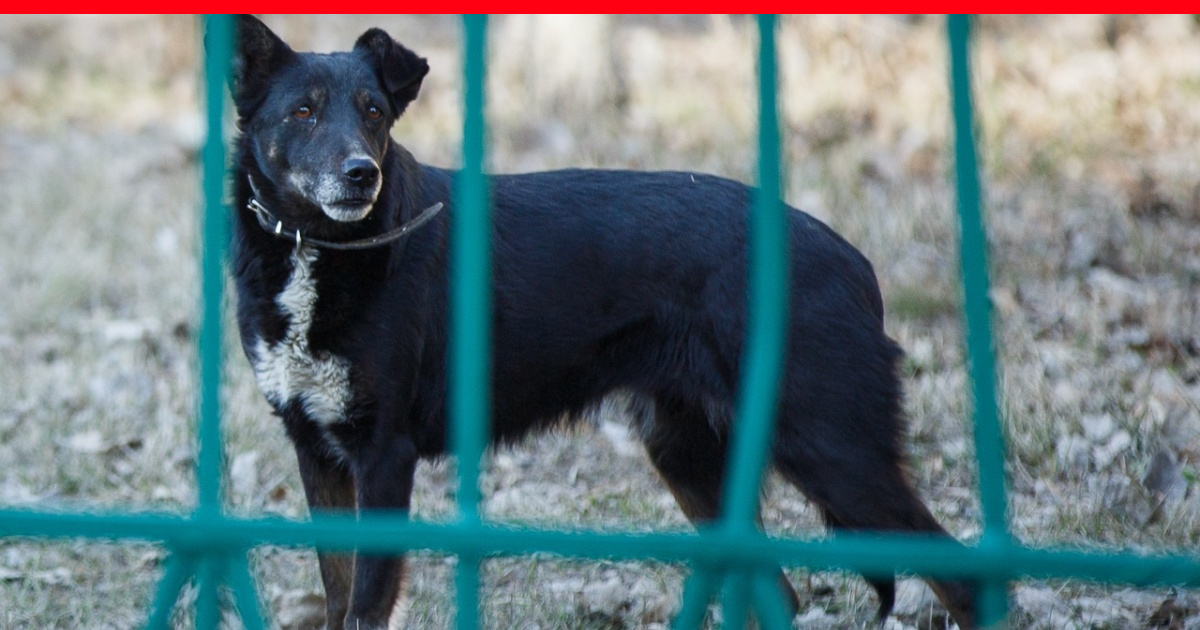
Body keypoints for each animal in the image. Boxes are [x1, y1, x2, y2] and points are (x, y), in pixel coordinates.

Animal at [225, 14, 974, 628]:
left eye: (375, 112)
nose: (361, 175)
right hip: (690, 455)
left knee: (960, 578)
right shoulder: (318, 451)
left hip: (833, 450)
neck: (323, 251)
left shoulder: (384, 454)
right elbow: (336, 593)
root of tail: (857, 264)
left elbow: (364, 605)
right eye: (302, 112)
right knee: (779, 595)